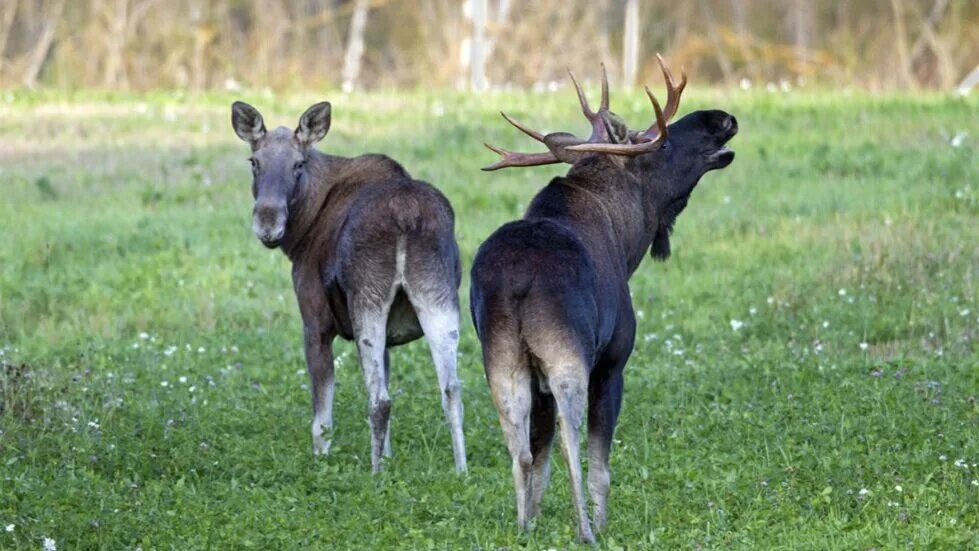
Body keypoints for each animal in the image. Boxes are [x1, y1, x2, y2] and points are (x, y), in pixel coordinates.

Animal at [234, 101, 470, 472]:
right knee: (452, 391)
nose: (268, 224)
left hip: (367, 299)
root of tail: (406, 214)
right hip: (439, 297)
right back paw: (461, 471)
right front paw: (388, 458)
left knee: (381, 399)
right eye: (254, 161)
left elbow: (322, 416)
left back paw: (375, 475)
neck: (301, 234)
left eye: (299, 164)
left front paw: (322, 461)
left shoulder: (315, 321)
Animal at [470, 57, 740, 544]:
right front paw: (600, 522)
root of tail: (517, 282)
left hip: (501, 360)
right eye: (659, 142)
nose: (722, 119)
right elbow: (600, 463)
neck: (628, 239)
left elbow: (538, 458)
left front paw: (534, 520)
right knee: (568, 439)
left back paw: (522, 528)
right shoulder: (613, 363)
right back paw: (585, 531)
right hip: (567, 356)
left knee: (519, 447)